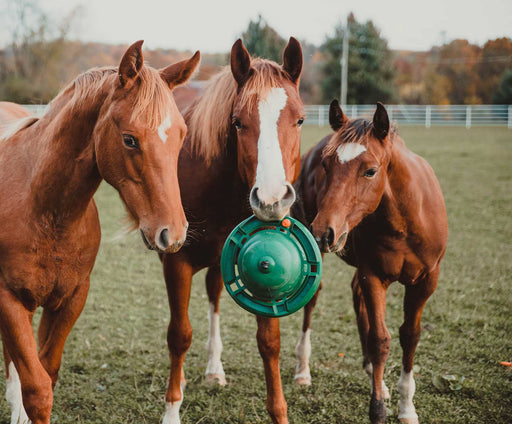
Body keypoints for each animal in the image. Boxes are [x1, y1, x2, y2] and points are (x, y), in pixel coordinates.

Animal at [0, 40, 199, 424]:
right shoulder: (8, 299)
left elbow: (47, 372)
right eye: (130, 139)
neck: (42, 209)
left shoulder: (70, 299)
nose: (173, 234)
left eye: (182, 135)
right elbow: (37, 390)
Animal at [161, 38, 304, 422]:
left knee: (214, 296)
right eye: (238, 123)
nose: (271, 200)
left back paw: (214, 369)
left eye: (300, 120)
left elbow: (269, 342)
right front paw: (171, 410)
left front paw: (279, 411)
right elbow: (179, 335)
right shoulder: (176, 263)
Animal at [292, 102, 448, 424]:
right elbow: (380, 340)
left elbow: (410, 335)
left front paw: (406, 407)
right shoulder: (374, 276)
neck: (406, 220)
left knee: (356, 297)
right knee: (313, 301)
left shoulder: (426, 281)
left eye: (370, 171)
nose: (323, 231)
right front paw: (377, 408)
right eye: (326, 165)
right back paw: (302, 370)